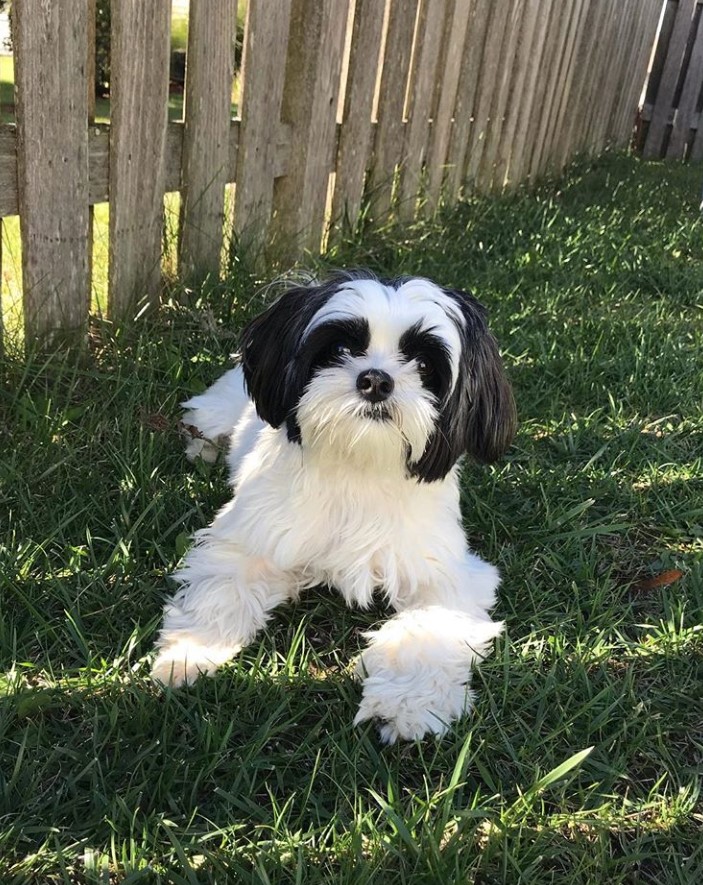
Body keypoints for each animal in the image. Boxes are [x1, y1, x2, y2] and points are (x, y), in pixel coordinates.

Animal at [153, 268, 516, 740]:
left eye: (423, 365)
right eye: (341, 349)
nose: (376, 379)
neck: (357, 464)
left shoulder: (446, 573)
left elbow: (427, 632)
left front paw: (406, 703)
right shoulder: (251, 542)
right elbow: (221, 593)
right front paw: (187, 656)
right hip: (221, 408)